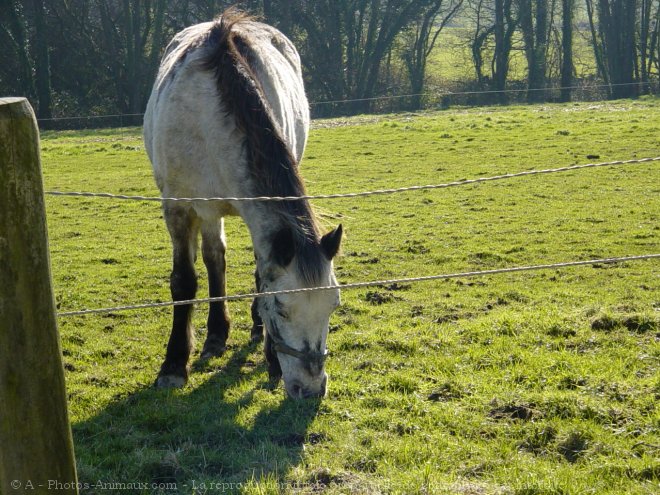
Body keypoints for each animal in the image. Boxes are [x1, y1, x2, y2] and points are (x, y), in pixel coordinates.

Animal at [143, 9, 340, 402]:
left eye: (333, 304)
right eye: (282, 309)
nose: (311, 388)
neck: (208, 119)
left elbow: (260, 274)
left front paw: (272, 359)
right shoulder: (178, 207)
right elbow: (184, 281)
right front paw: (173, 366)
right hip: (206, 210)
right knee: (214, 258)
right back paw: (216, 336)